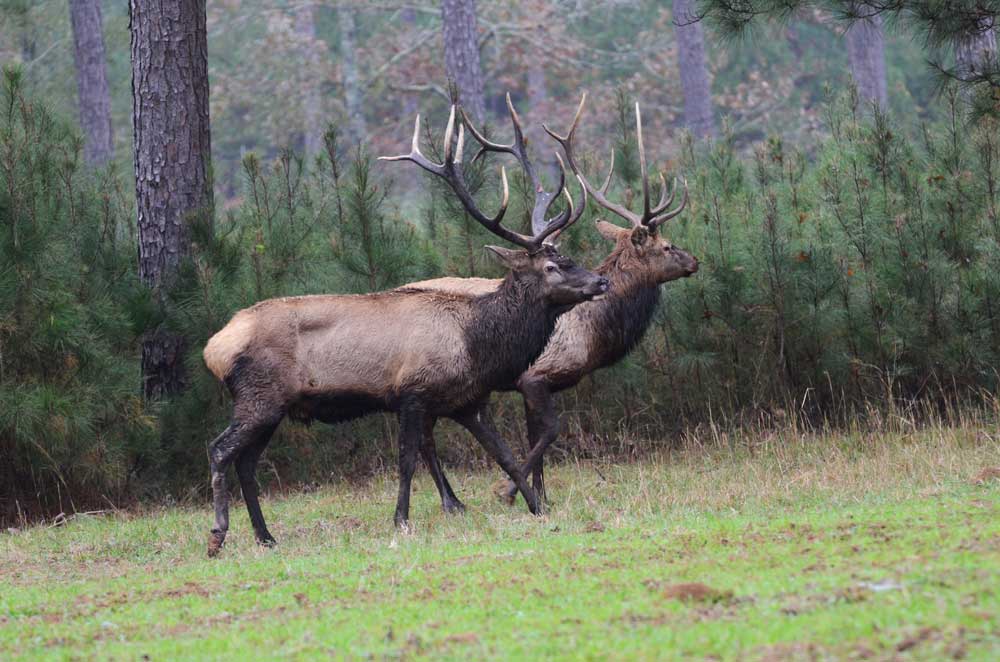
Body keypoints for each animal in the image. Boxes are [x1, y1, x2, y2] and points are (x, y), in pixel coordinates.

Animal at [201, 104, 608, 556]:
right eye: (552, 266)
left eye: (569, 257)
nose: (600, 282)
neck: (477, 346)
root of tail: (214, 348)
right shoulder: (412, 393)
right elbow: (407, 460)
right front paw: (401, 519)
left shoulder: (467, 401)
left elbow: (504, 454)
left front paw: (534, 506)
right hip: (259, 395)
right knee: (220, 450)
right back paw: (218, 534)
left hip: (271, 406)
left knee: (247, 462)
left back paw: (266, 536)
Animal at [406, 93, 696, 508]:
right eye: (669, 246)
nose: (695, 261)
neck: (593, 332)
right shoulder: (535, 376)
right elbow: (551, 432)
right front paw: (508, 492)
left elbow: (536, 437)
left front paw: (540, 496)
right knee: (425, 435)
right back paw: (452, 502)